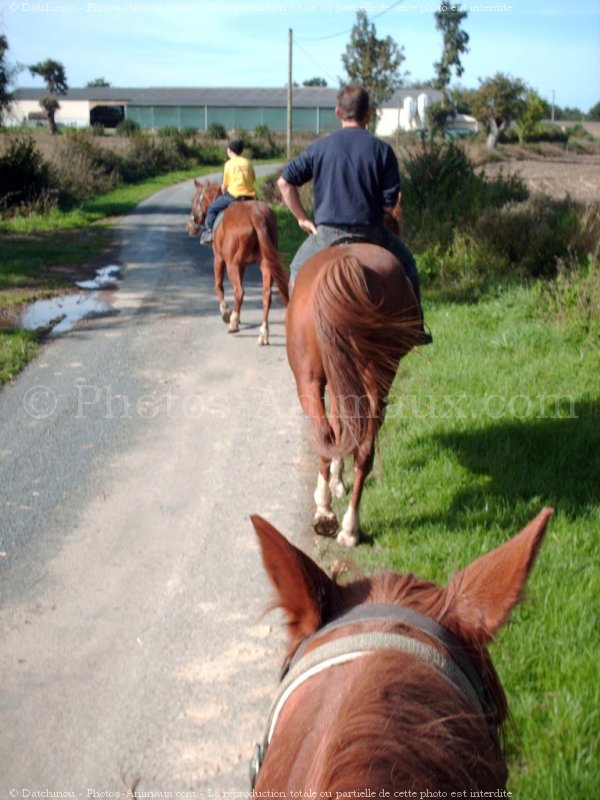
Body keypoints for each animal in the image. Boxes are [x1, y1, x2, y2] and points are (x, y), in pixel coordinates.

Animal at [188, 180, 290, 346]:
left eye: (194, 200)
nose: (189, 227)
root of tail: (256, 214)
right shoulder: (241, 265)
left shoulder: (219, 259)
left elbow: (218, 286)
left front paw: (226, 313)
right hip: (265, 264)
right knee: (266, 295)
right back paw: (263, 333)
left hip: (231, 265)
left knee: (239, 291)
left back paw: (233, 324)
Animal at [286, 242, 422, 544]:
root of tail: (345, 263)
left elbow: (338, 429)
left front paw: (335, 482)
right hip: (377, 381)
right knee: (363, 451)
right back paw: (350, 528)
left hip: (308, 383)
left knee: (326, 436)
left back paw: (325, 512)